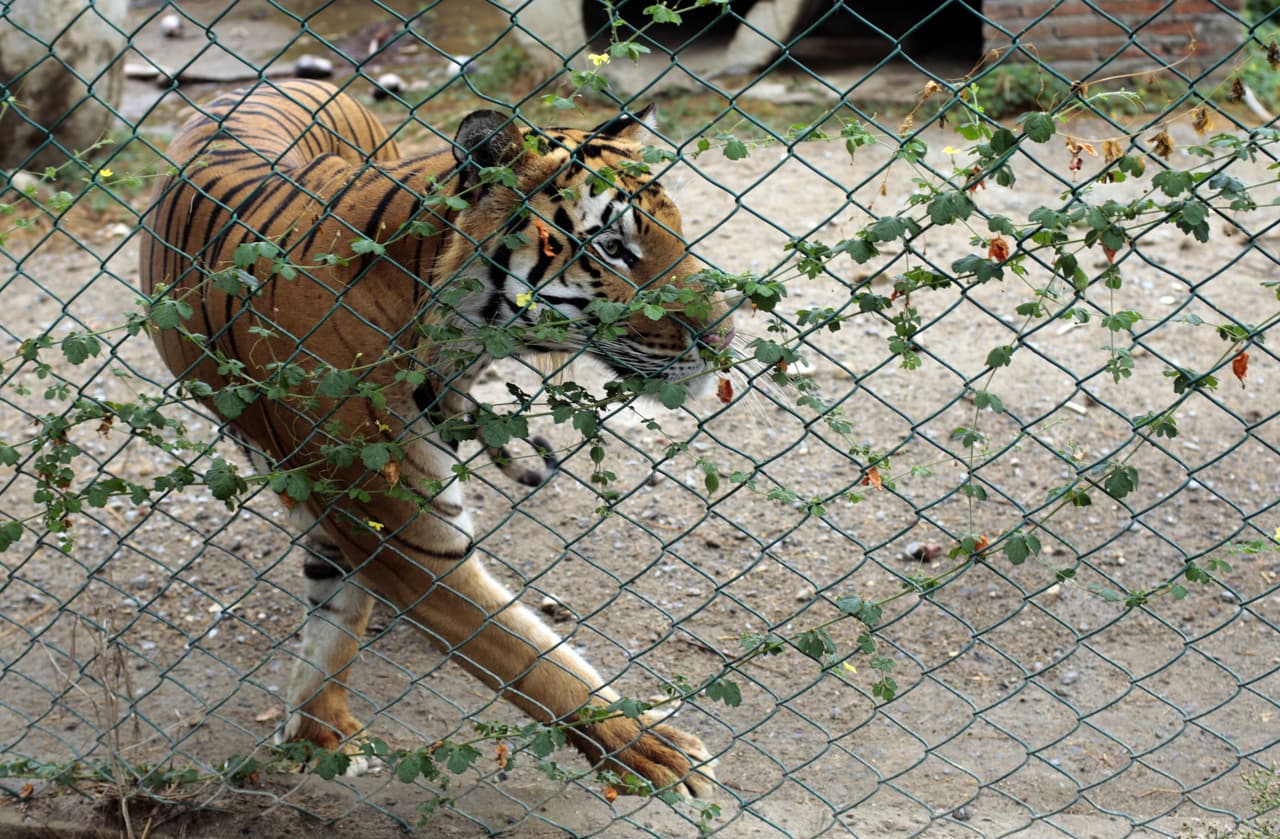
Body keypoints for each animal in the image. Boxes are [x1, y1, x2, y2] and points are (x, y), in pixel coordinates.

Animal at [138, 79, 734, 797]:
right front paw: (650, 746)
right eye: (612, 249)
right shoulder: (403, 533)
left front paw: (320, 726)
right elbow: (531, 657)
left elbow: (341, 609)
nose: (726, 335)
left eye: (680, 230)